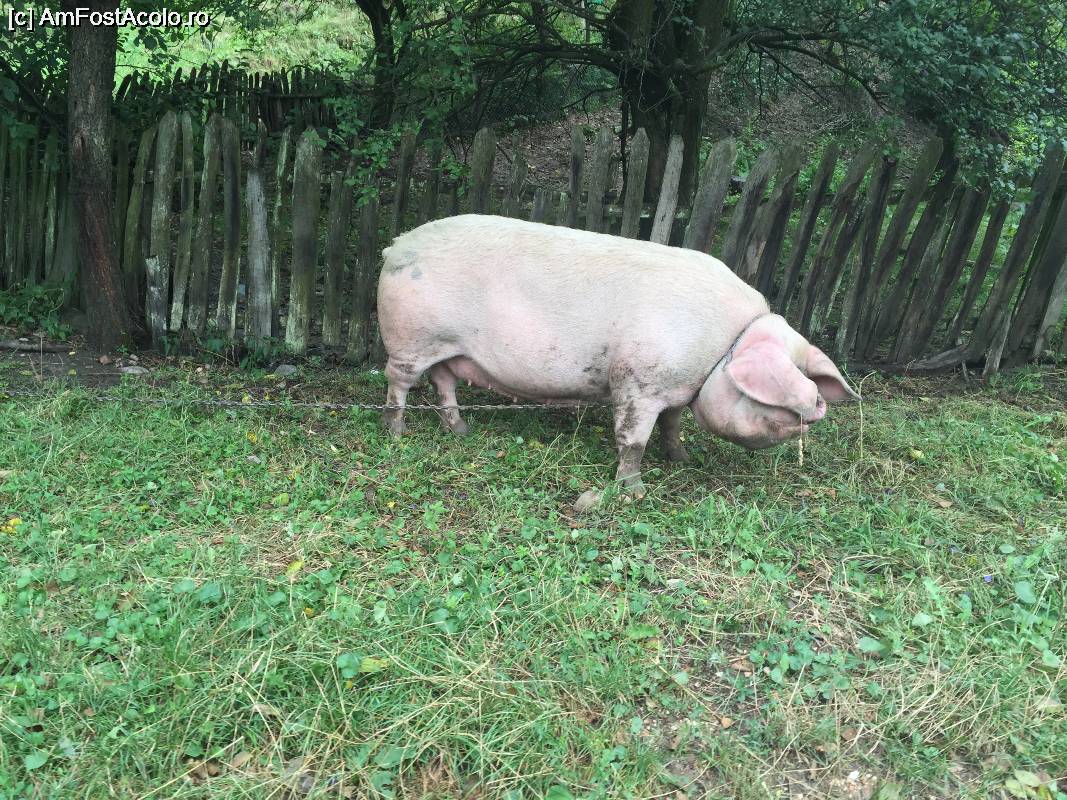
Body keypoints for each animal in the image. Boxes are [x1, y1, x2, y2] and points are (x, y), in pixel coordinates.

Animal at [377, 214, 859, 496]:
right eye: (765, 397)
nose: (818, 405)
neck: (720, 350)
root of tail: (396, 244)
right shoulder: (637, 382)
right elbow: (632, 439)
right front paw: (633, 491)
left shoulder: (674, 387)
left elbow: (672, 423)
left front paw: (682, 458)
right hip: (409, 339)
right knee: (397, 383)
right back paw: (397, 435)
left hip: (445, 348)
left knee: (444, 382)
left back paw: (461, 432)